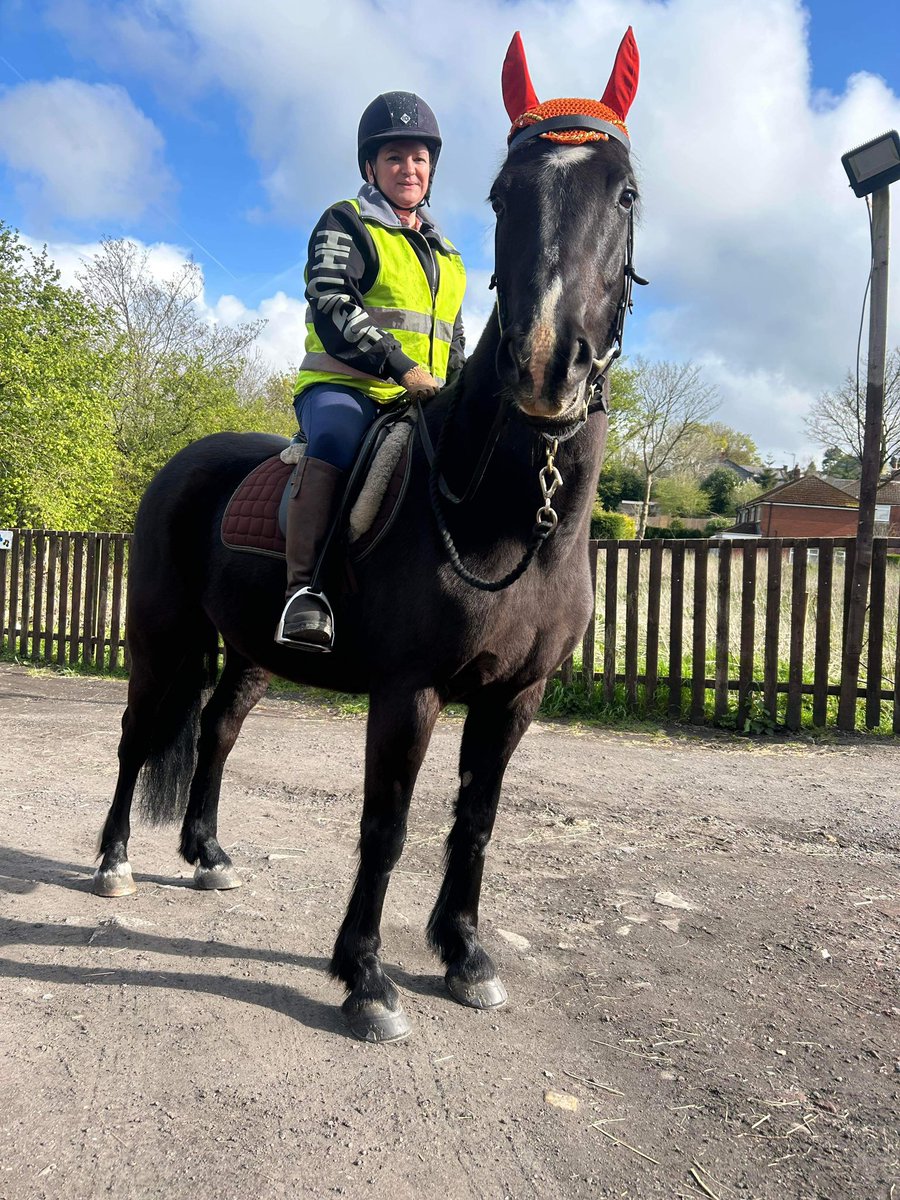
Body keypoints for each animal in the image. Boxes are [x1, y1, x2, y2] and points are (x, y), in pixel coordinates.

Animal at [93, 32, 643, 1036]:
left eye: (624, 193)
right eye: (504, 194)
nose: (547, 367)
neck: (509, 516)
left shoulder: (516, 699)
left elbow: (476, 822)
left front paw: (464, 955)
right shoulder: (407, 691)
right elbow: (386, 825)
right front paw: (365, 976)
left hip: (251, 651)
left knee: (217, 732)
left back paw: (208, 854)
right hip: (162, 637)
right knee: (137, 734)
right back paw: (113, 861)